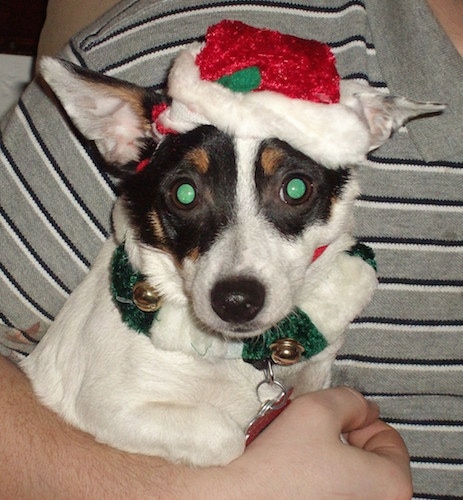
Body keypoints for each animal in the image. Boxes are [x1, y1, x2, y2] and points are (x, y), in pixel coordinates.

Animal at [20, 21, 444, 466]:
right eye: (184, 194)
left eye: (296, 188)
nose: (236, 301)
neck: (244, 354)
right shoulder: (109, 406)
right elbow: (227, 436)